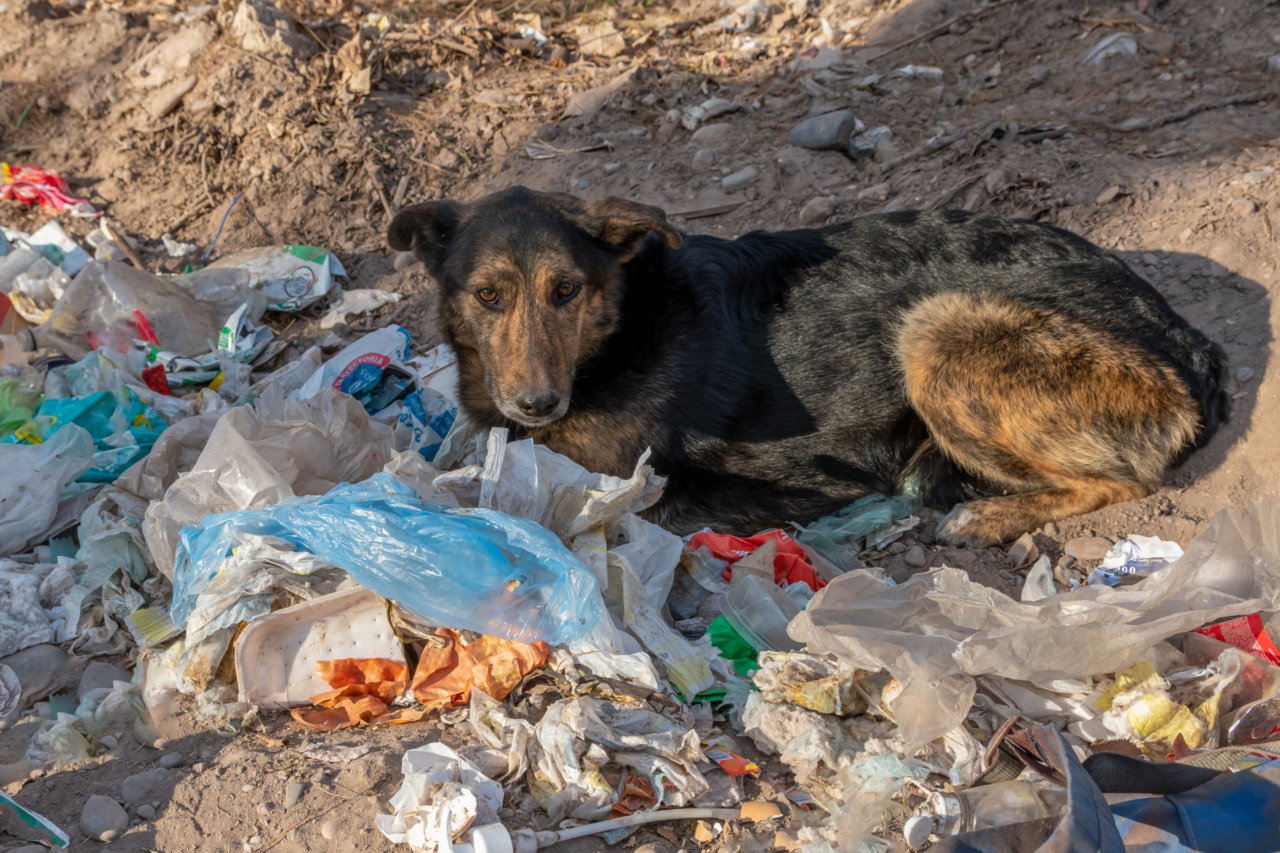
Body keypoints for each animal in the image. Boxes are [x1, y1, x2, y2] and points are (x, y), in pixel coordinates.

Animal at [388, 186, 1228, 547]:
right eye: (488, 295)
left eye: (566, 290)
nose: (536, 404)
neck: (615, 331)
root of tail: (1191, 340)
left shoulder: (613, 482)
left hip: (936, 331)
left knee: (1127, 479)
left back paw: (989, 515)